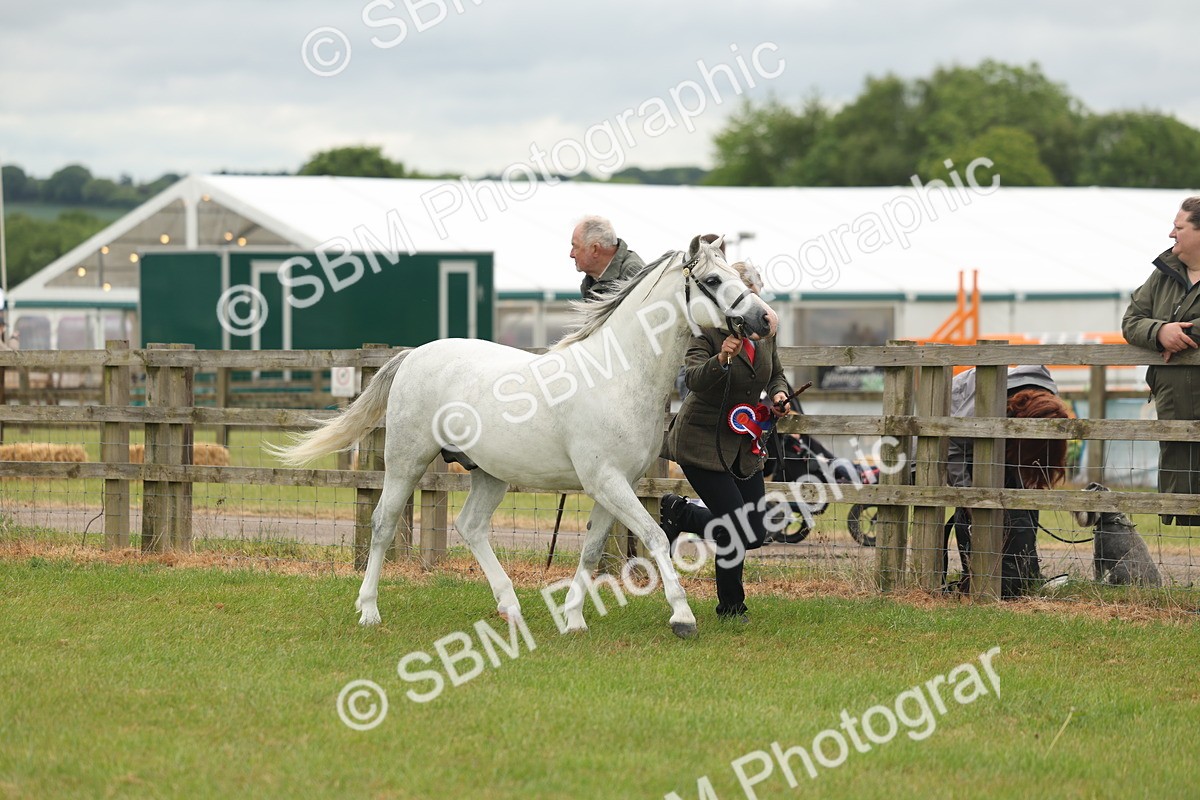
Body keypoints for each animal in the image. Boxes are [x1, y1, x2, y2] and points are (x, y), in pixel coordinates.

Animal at [269, 236, 778, 638]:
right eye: (712, 280)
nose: (766, 320)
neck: (617, 374)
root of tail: (413, 355)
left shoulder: (616, 485)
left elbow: (592, 550)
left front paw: (573, 620)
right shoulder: (608, 482)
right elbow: (653, 536)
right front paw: (682, 617)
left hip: (489, 473)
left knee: (471, 527)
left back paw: (510, 607)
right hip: (405, 463)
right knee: (382, 525)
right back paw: (369, 611)